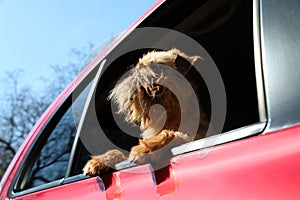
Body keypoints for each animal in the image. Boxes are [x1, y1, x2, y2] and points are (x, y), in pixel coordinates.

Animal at [82, 48, 209, 177]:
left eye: (157, 68)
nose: (135, 71)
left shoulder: (193, 138)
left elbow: (172, 134)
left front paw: (144, 149)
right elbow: (118, 152)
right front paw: (98, 161)